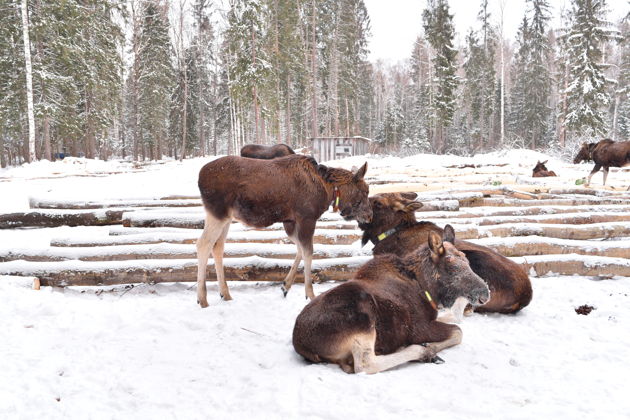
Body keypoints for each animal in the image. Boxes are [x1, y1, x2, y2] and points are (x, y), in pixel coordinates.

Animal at [198, 153, 372, 306]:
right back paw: (202, 298)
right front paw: (310, 294)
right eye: (365, 191)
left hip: (226, 218)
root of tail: (200, 177)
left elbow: (300, 249)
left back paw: (225, 293)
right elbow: (308, 252)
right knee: (203, 244)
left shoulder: (290, 221)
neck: (329, 189)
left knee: (218, 247)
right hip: (218, 213)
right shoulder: (306, 218)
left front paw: (285, 285)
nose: (369, 216)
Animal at [294, 225, 492, 376]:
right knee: (365, 365)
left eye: (467, 261)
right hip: (364, 316)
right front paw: (430, 346)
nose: (485, 294)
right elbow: (458, 332)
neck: (427, 289)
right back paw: (421, 351)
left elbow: (455, 319)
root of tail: (301, 344)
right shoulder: (418, 328)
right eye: (452, 265)